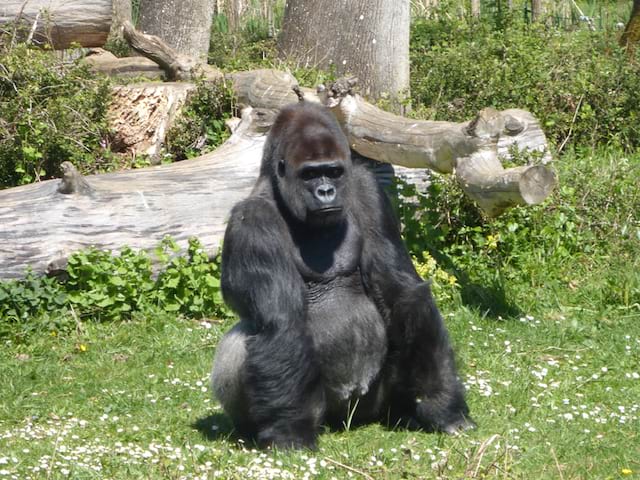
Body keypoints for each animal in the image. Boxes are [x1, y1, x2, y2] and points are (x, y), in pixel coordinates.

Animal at [212, 101, 472, 450]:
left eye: (333, 171)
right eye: (309, 174)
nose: (326, 191)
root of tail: (347, 419)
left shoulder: (368, 191)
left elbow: (402, 293)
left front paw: (443, 404)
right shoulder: (251, 222)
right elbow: (282, 322)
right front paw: (290, 432)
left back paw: (405, 411)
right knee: (241, 341)